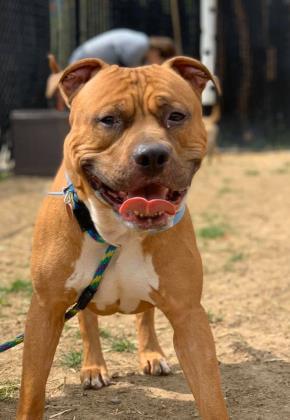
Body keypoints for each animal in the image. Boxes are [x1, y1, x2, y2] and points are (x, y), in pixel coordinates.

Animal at [17, 57, 229, 418]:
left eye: (176, 116)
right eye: (108, 120)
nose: (152, 154)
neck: (118, 233)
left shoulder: (189, 317)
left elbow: (211, 396)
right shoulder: (44, 312)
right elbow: (32, 393)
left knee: (145, 314)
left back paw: (152, 354)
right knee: (87, 320)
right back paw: (93, 367)